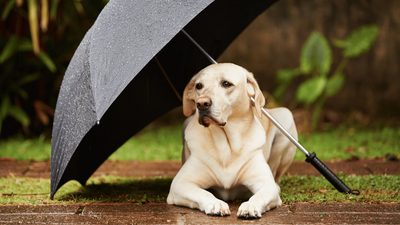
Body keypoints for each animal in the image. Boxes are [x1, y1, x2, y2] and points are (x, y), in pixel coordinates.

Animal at [166, 62, 296, 219]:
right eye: (198, 86)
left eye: (226, 84)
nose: (201, 103)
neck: (227, 145)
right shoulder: (180, 184)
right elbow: (203, 192)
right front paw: (216, 203)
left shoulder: (265, 183)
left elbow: (260, 195)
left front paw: (250, 206)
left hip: (286, 116)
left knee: (276, 179)